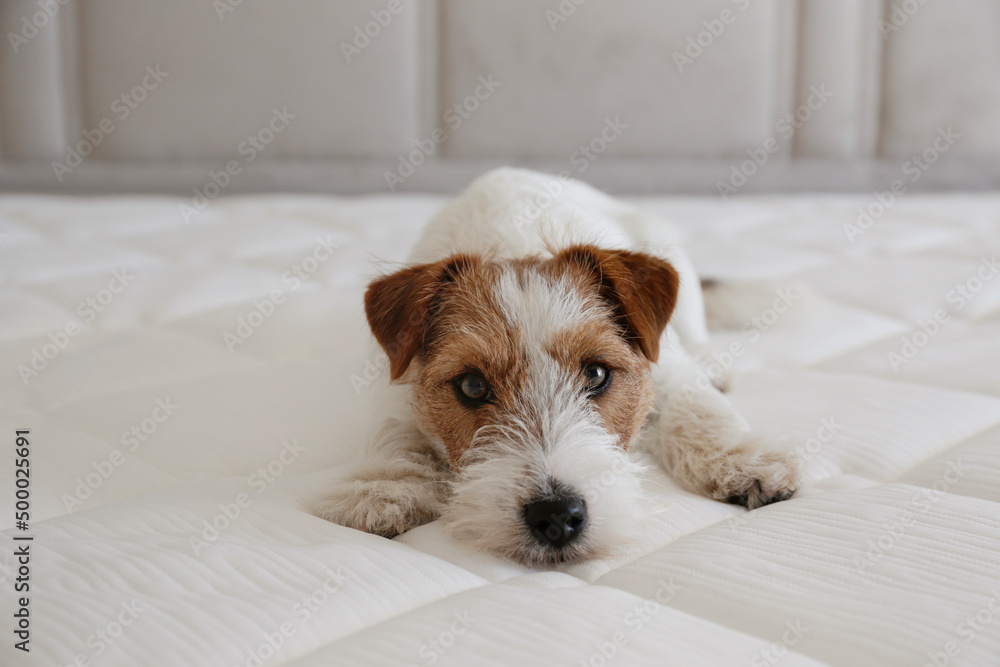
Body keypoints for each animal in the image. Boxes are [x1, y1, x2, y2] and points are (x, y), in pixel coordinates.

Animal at [316, 170, 800, 568]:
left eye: (596, 375)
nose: (557, 516)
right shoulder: (397, 385)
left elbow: (699, 411)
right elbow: (396, 438)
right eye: (472, 385)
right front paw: (383, 488)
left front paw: (744, 461)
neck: (515, 244)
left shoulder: (668, 371)